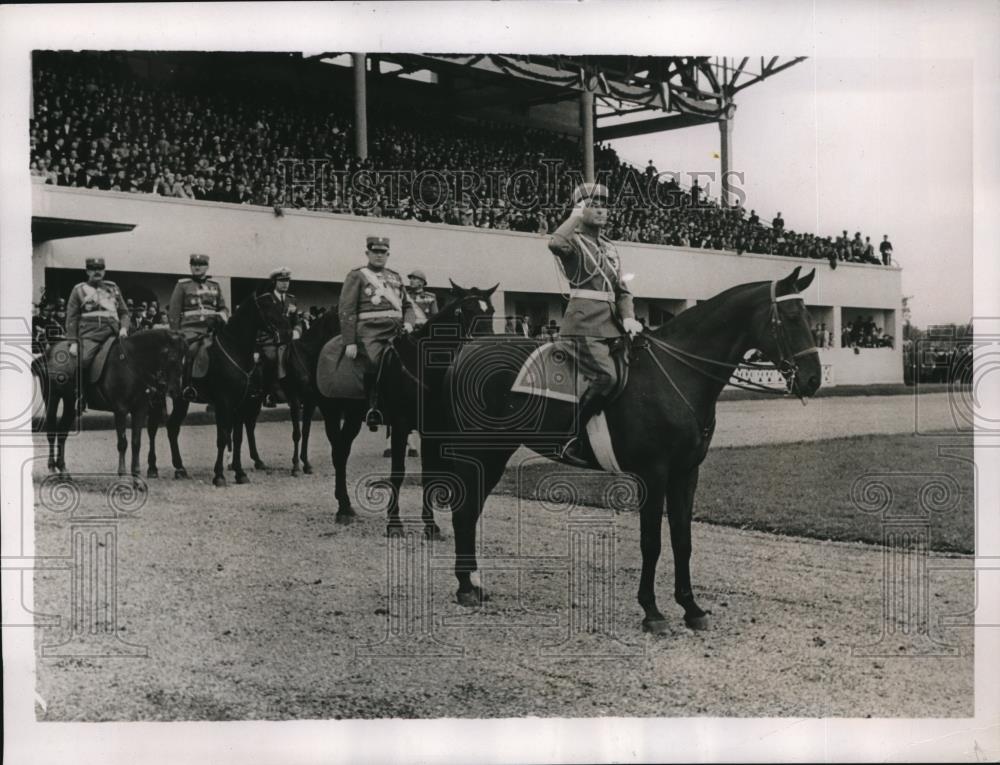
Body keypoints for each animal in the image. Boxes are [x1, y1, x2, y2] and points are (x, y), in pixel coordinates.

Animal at [148, 284, 292, 486]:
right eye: (266, 306)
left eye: (279, 304)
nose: (287, 332)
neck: (235, 350)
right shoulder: (225, 402)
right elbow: (223, 436)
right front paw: (219, 475)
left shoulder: (241, 403)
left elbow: (237, 437)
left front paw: (240, 472)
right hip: (155, 397)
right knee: (153, 428)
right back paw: (152, 468)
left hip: (181, 399)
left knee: (172, 427)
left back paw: (180, 468)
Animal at [314, 282, 498, 532]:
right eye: (467, 311)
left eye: (491, 311)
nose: (487, 349)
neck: (423, 365)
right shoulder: (400, 426)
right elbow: (397, 472)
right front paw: (394, 523)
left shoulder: (432, 429)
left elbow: (429, 475)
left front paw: (430, 525)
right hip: (331, 412)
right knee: (339, 453)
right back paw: (342, 508)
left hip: (353, 416)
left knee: (342, 449)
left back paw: (346, 506)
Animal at [444, 268, 820, 632]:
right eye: (790, 317)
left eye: (809, 316)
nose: (813, 379)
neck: (676, 374)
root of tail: (469, 348)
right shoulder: (653, 474)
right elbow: (651, 542)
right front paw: (652, 611)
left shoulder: (686, 472)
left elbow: (682, 540)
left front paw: (691, 607)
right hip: (479, 451)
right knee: (464, 512)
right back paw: (465, 587)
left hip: (496, 453)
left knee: (471, 511)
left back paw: (472, 583)